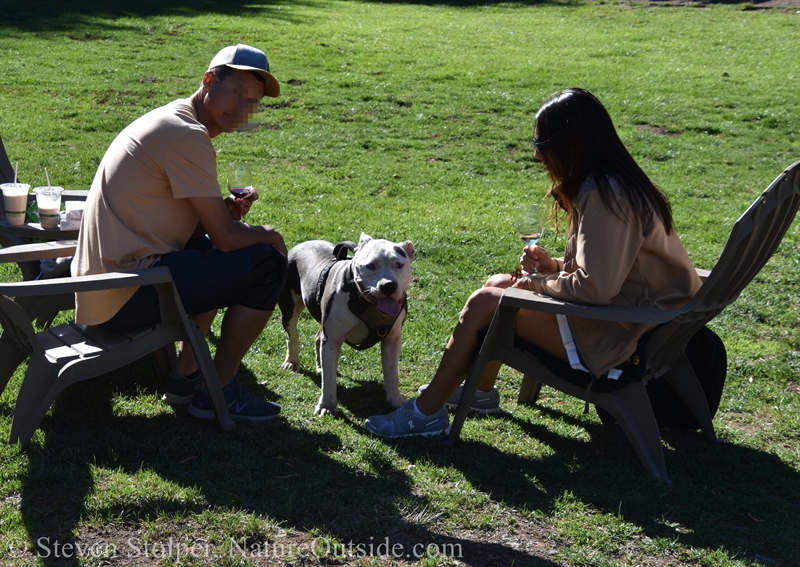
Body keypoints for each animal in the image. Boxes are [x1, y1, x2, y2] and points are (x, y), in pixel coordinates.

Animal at [278, 233, 416, 414]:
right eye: (370, 265)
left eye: (399, 265)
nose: (388, 285)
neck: (365, 302)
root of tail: (303, 244)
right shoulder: (332, 340)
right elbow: (329, 379)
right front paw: (327, 406)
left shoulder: (392, 340)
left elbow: (392, 372)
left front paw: (395, 400)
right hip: (289, 308)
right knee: (292, 334)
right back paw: (292, 361)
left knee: (318, 337)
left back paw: (320, 365)